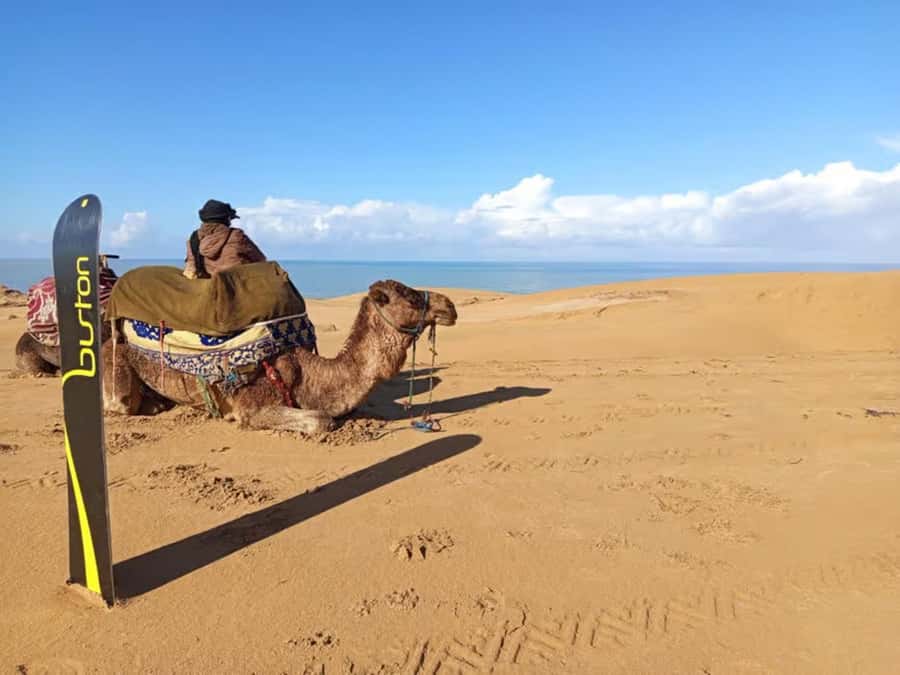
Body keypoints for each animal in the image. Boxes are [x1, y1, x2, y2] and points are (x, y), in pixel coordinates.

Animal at [103, 280, 458, 434]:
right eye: (410, 297)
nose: (450, 306)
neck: (310, 376)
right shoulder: (253, 405)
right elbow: (321, 420)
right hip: (114, 363)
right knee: (121, 404)